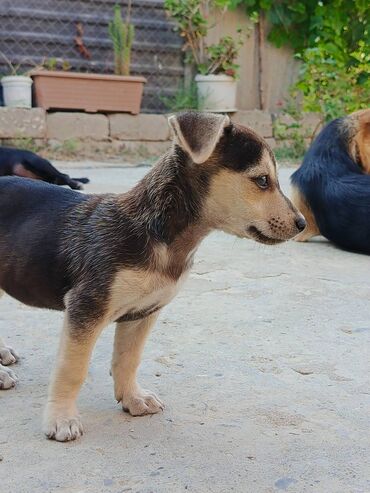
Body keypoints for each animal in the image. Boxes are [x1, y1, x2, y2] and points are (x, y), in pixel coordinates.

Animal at [0, 112, 306, 442]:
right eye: (262, 180)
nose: (302, 223)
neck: (160, 235)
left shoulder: (143, 312)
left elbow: (128, 359)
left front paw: (132, 398)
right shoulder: (86, 307)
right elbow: (72, 369)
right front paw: (61, 418)